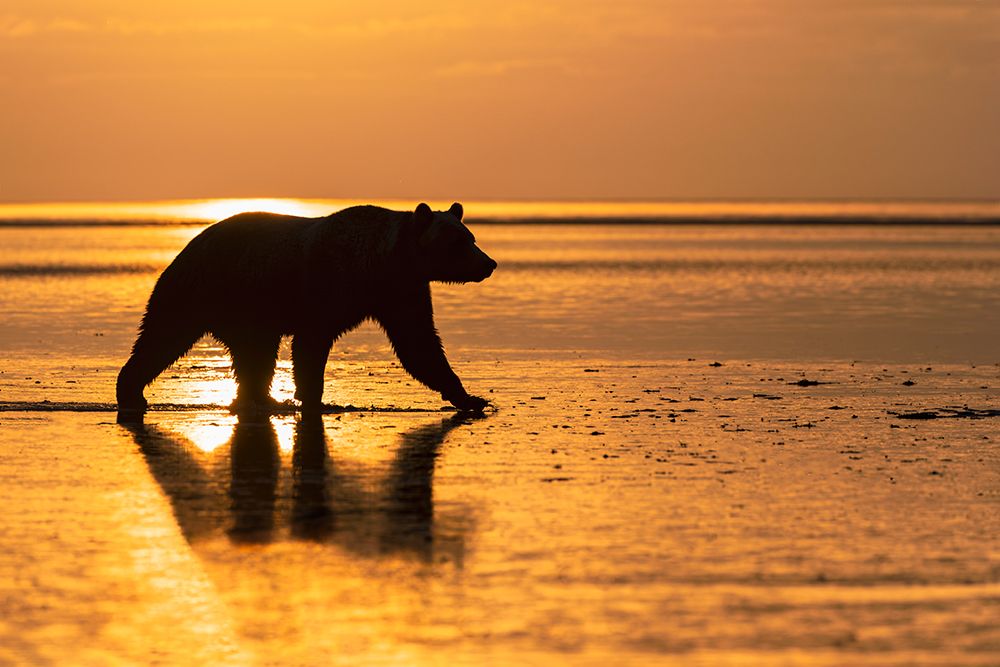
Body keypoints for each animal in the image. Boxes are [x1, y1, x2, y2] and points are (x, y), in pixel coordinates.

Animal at [116, 202, 496, 418]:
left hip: (248, 311)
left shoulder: (401, 292)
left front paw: (470, 397)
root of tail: (186, 247)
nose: (489, 263)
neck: (380, 263)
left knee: (254, 355)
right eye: (459, 242)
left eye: (471, 237)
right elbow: (311, 343)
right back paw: (131, 391)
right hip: (208, 290)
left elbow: (419, 343)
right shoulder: (327, 286)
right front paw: (314, 398)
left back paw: (262, 400)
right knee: (164, 336)